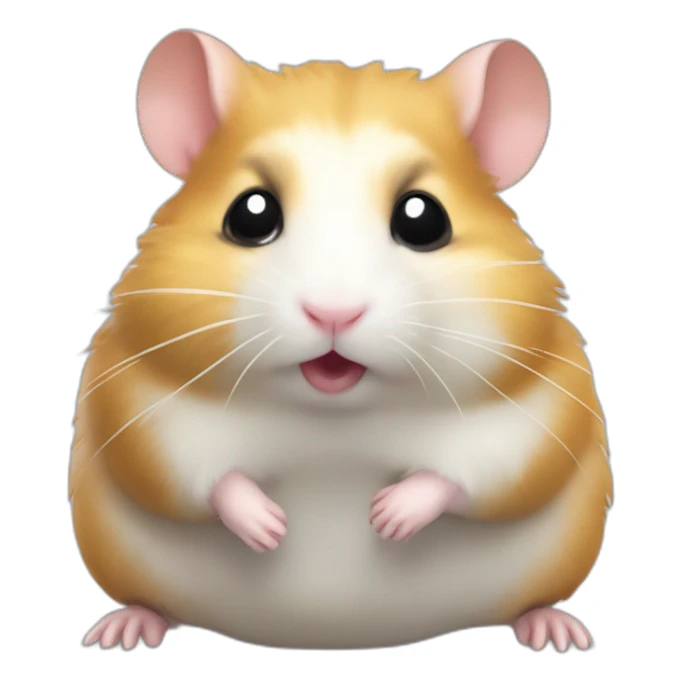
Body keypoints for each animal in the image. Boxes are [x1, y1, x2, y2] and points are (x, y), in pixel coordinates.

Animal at [72, 30, 613, 652]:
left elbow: (482, 467)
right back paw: (124, 630)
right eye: (250, 215)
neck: (334, 415)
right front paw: (270, 527)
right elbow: (195, 471)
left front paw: (387, 516)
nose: (334, 313)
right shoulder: (137, 400)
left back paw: (555, 632)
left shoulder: (540, 400)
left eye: (424, 219)